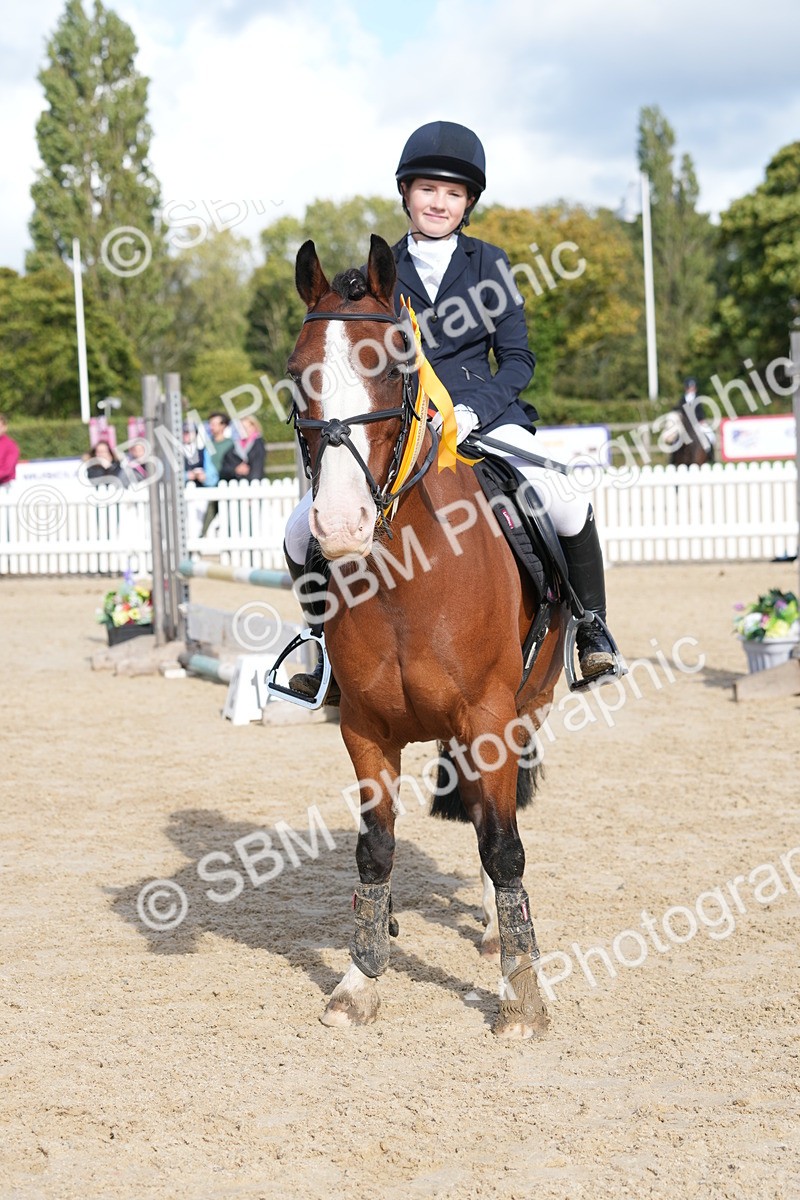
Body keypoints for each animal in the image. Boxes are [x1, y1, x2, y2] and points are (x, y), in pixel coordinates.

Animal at [286, 234, 569, 1039]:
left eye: (394, 365)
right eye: (295, 373)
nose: (338, 525)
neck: (405, 580)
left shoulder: (489, 720)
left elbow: (503, 846)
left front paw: (522, 995)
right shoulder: (363, 728)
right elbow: (374, 849)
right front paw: (360, 977)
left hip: (528, 706)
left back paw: (496, 934)